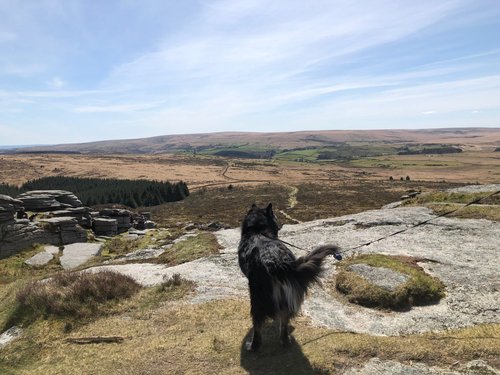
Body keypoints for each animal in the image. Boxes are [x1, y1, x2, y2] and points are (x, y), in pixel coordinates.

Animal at [238, 204, 340, 352]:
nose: (282, 224)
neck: (258, 230)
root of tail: (277, 262)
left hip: (257, 296)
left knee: (258, 324)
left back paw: (253, 346)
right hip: (285, 294)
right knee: (284, 319)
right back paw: (285, 340)